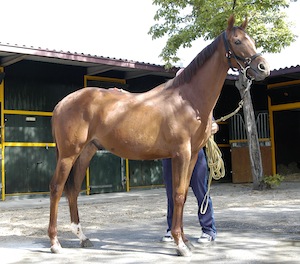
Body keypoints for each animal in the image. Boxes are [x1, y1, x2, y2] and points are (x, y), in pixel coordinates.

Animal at [48, 14, 270, 256]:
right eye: (237, 41)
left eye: (252, 40)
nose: (263, 67)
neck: (187, 100)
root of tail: (62, 103)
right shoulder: (181, 154)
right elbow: (179, 195)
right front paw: (180, 245)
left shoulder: (192, 155)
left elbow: (182, 195)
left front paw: (184, 240)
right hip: (68, 154)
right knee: (57, 188)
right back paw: (55, 242)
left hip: (86, 152)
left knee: (73, 190)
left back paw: (82, 237)